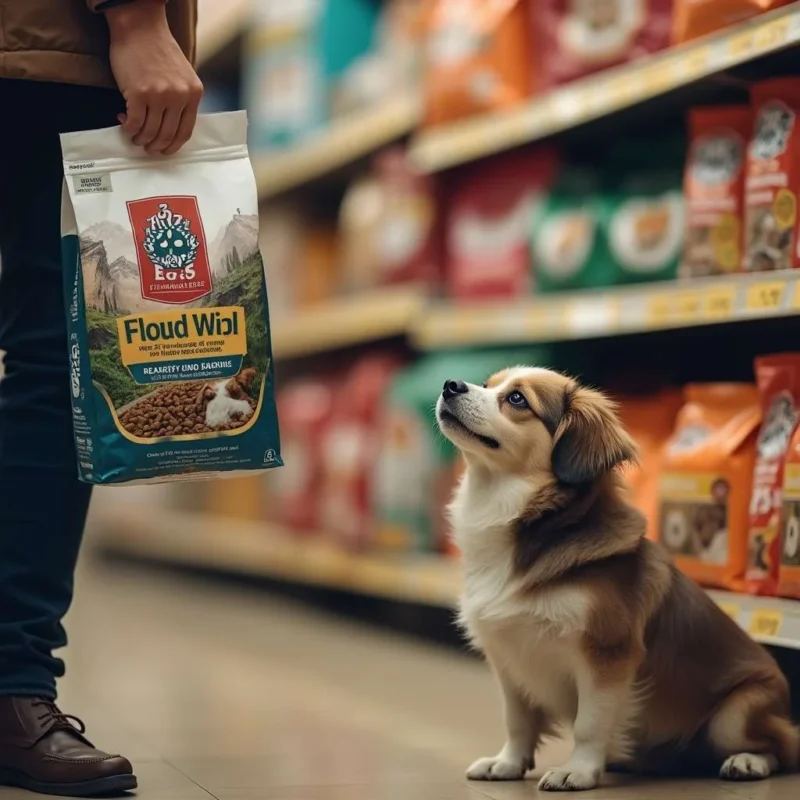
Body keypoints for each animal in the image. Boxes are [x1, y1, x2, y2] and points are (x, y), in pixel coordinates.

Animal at [438, 368, 800, 788]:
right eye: (487, 384)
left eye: (516, 400)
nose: (451, 385)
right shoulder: (508, 659)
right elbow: (517, 721)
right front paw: (508, 763)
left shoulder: (607, 653)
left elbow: (590, 723)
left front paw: (577, 771)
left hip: (735, 714)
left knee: (781, 749)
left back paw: (747, 761)